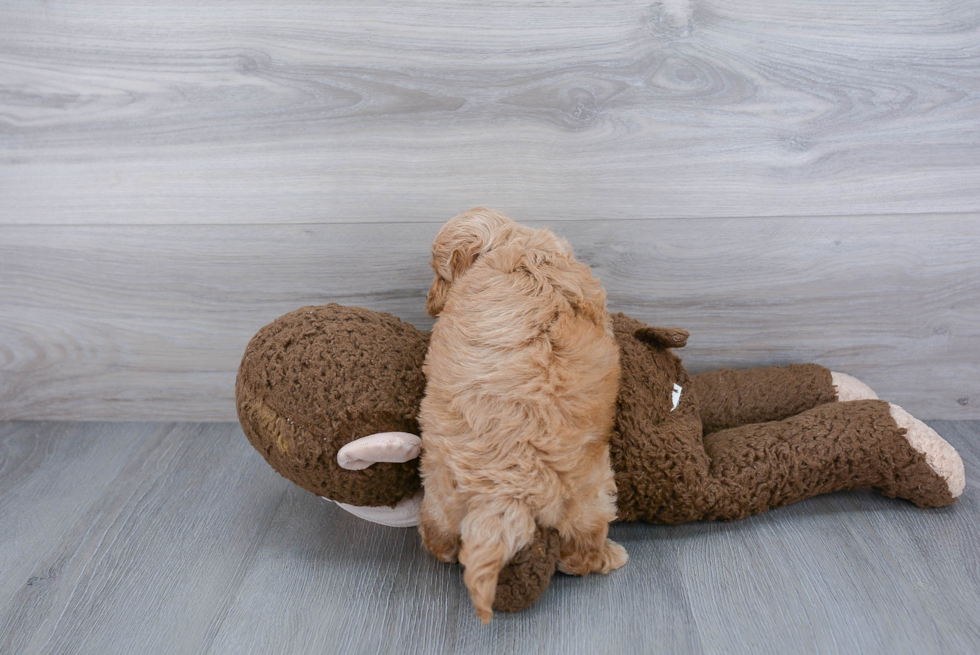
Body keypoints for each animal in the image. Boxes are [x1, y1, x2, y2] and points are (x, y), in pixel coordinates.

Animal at [418, 206, 624, 624]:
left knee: (440, 536)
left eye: (439, 276)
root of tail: (509, 491)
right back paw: (609, 556)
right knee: (580, 553)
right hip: (594, 495)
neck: (513, 244)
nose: (430, 303)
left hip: (440, 491)